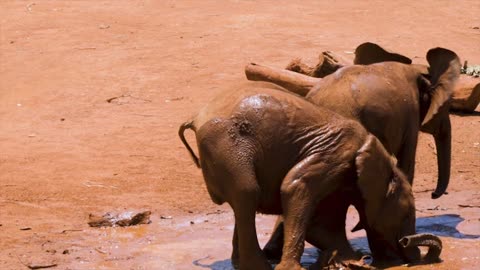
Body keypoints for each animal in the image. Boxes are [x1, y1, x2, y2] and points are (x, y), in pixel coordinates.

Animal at [179, 82, 438, 270]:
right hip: (227, 146)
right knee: (247, 194)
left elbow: (321, 223)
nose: (407, 245)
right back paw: (258, 267)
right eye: (406, 213)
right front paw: (295, 269)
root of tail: (197, 117)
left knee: (242, 202)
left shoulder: (341, 177)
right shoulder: (334, 156)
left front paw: (351, 260)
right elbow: (294, 187)